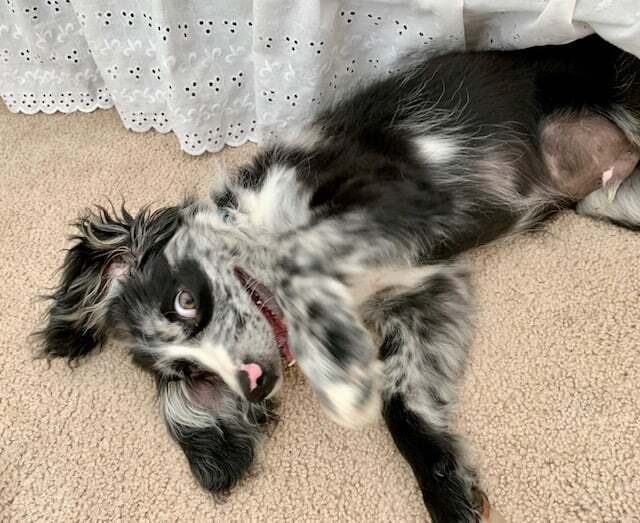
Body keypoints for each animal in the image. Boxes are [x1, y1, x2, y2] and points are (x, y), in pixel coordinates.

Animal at [38, 36, 640, 523]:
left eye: (186, 300)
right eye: (195, 376)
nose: (254, 382)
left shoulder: (385, 193)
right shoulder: (420, 297)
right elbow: (404, 403)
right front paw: (447, 489)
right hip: (614, 201)